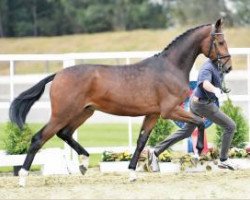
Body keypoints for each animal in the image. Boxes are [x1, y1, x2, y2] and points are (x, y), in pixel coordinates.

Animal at [9, 18, 232, 185]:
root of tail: (58, 74)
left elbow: (142, 141)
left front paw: (132, 172)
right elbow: (199, 121)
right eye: (220, 42)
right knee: (39, 138)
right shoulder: (169, 110)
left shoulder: (153, 114)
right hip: (63, 113)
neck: (170, 67)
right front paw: (199, 152)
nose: (228, 67)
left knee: (65, 133)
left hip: (84, 111)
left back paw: (83, 163)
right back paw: (23, 177)